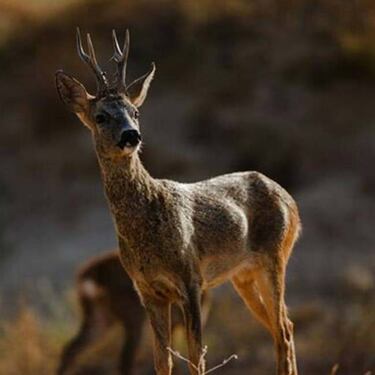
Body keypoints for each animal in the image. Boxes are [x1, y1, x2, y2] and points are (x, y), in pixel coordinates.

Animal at [58, 250, 212, 375]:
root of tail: (92, 274)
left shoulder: (173, 324)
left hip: (100, 317)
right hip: (133, 318)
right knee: (125, 359)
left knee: (70, 348)